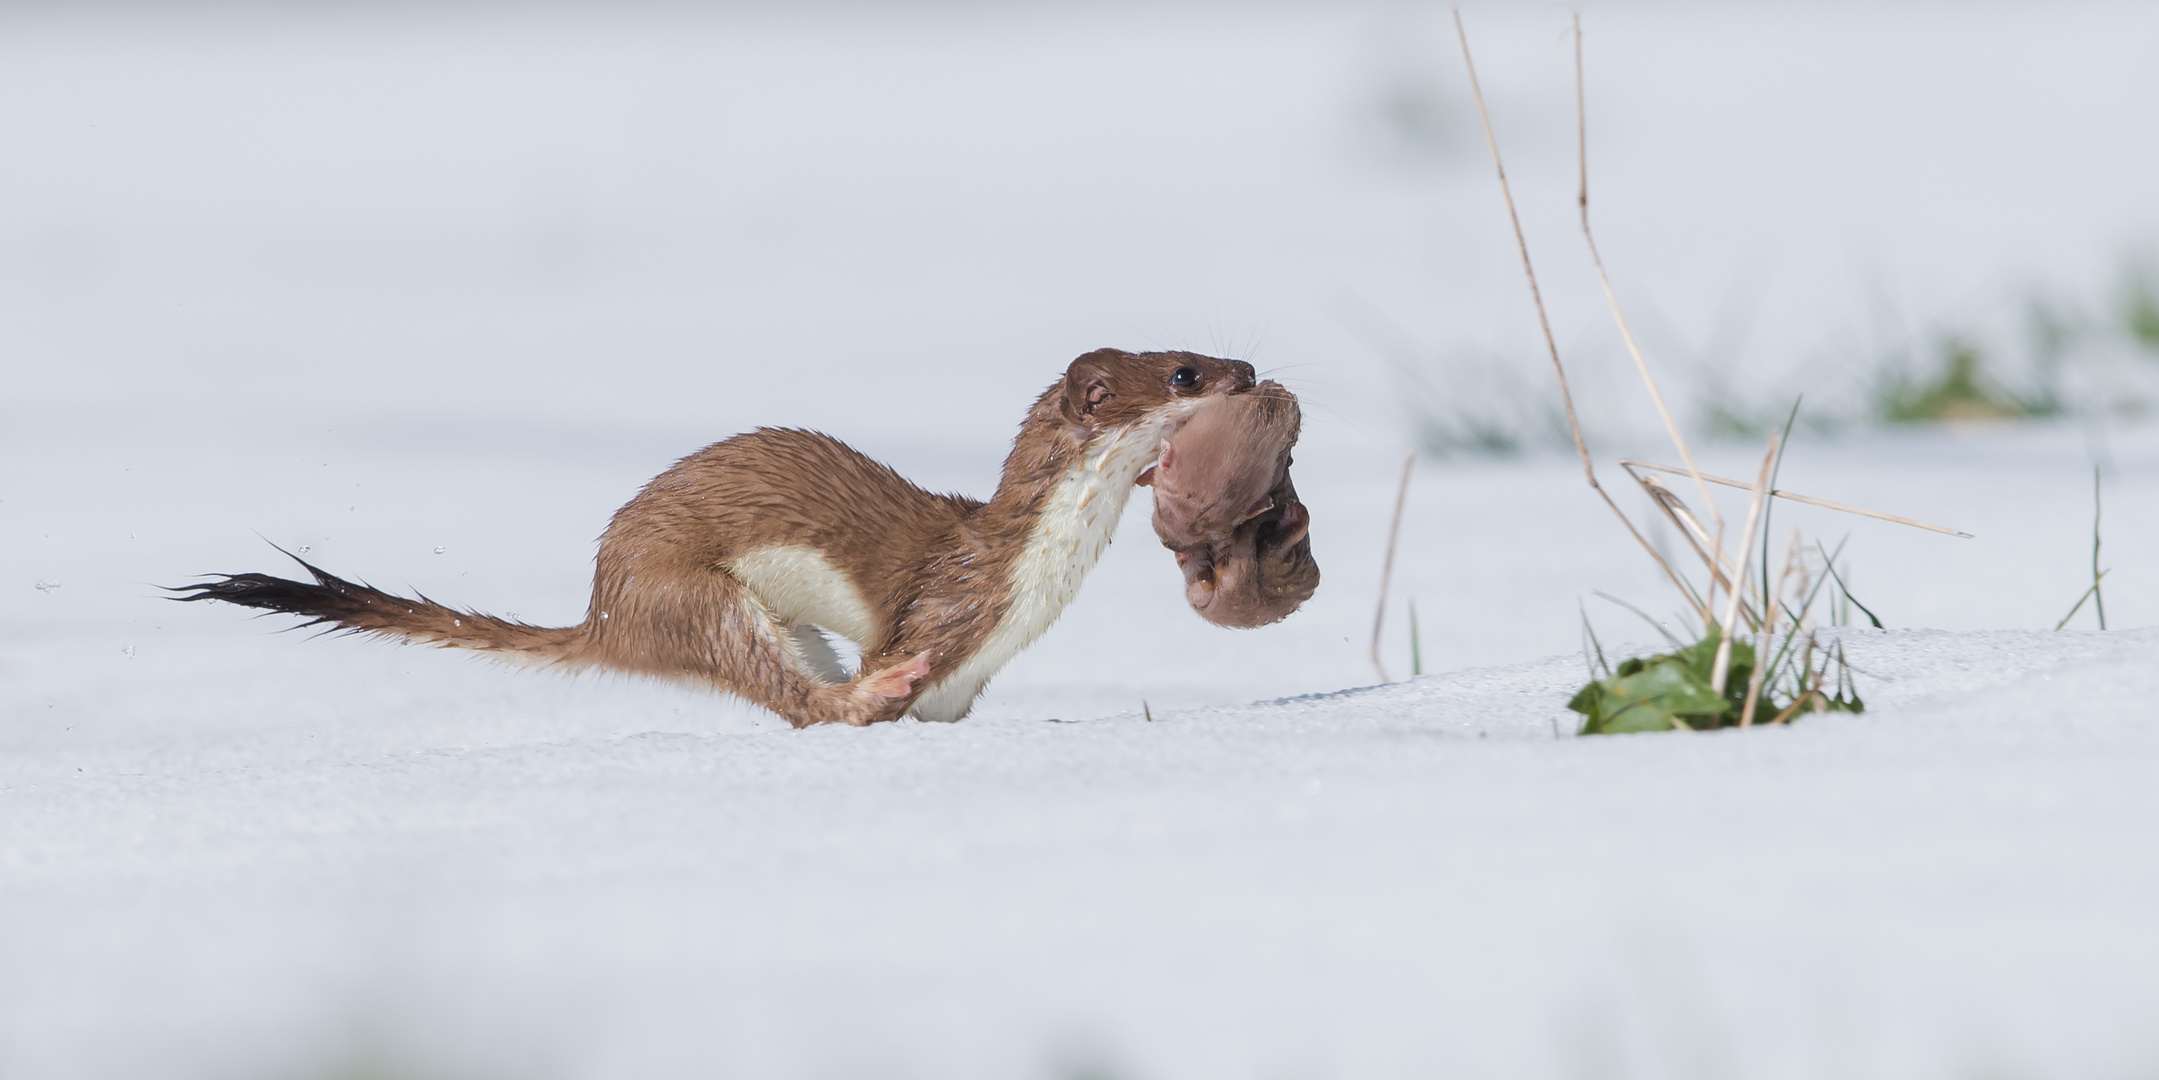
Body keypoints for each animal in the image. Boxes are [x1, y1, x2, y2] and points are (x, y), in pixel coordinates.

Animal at [177, 349, 1312, 730]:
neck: (1027, 597)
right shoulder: (941, 606)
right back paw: (864, 690)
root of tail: (603, 609)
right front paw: (890, 690)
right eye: (1184, 372)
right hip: (693, 590)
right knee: (793, 694)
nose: (1252, 367)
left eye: (1208, 343)